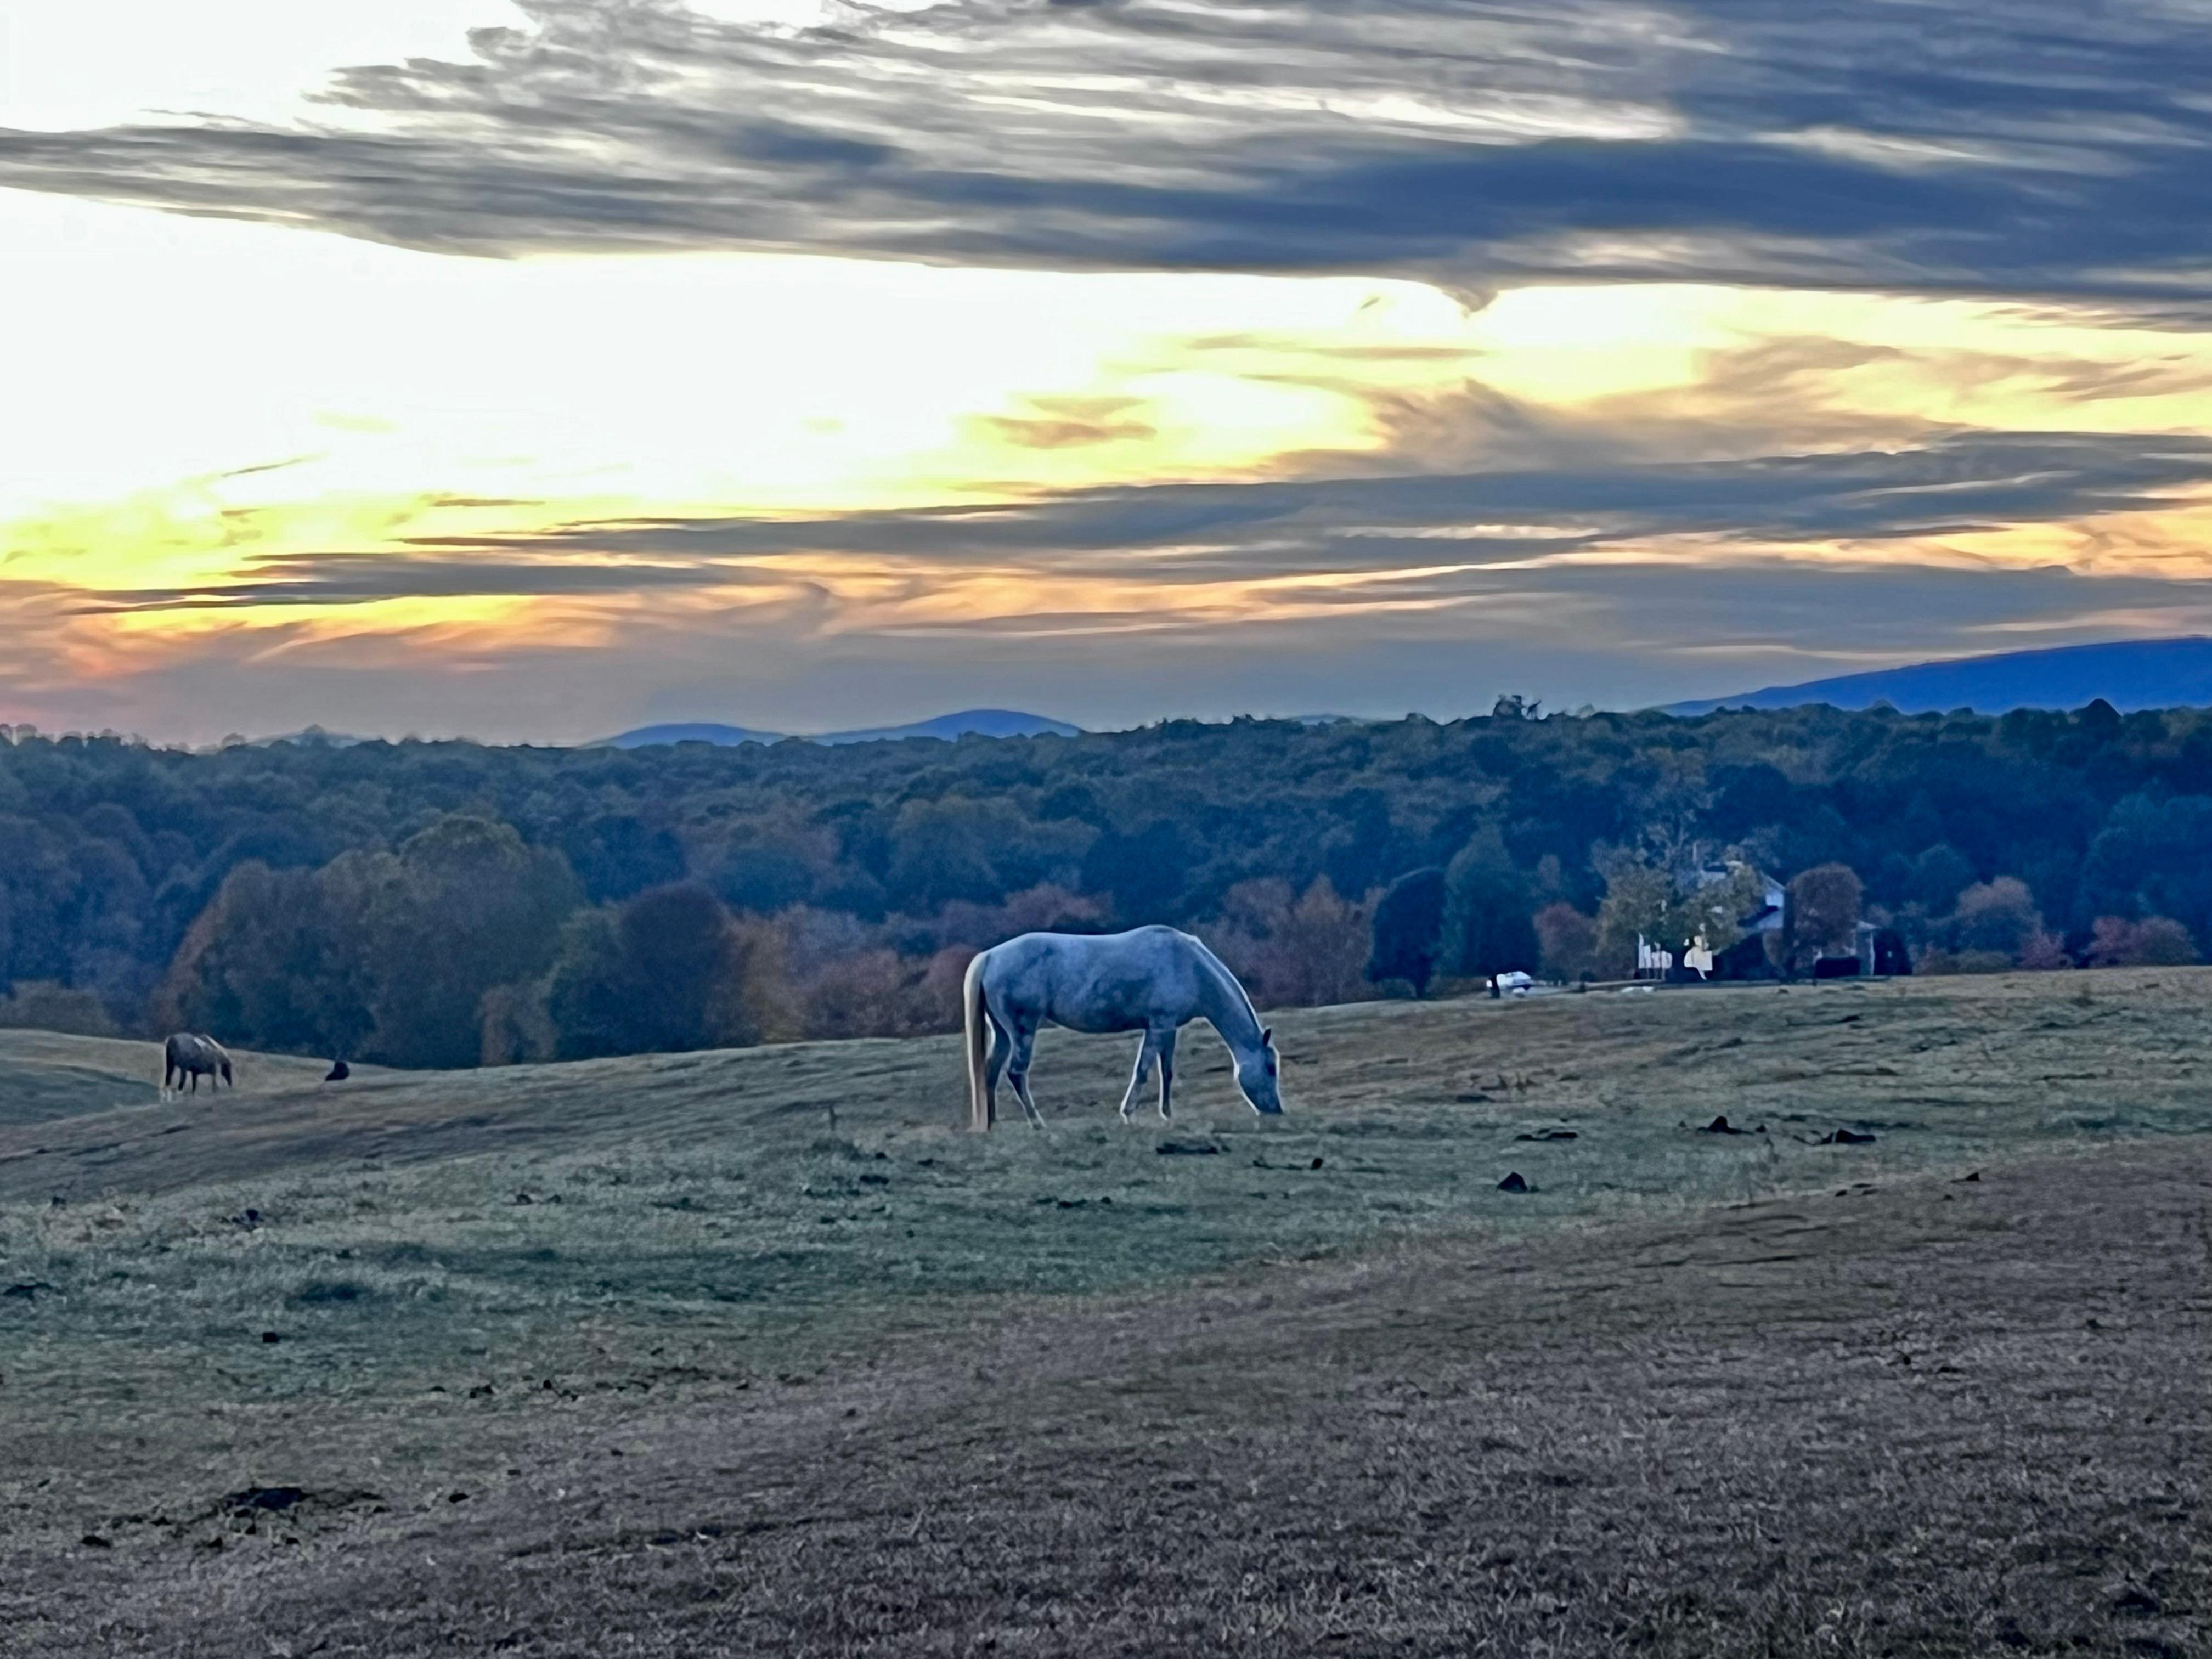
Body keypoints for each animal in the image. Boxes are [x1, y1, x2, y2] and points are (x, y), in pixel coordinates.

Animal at [161, 1033, 232, 1100]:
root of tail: (171, 1039)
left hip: (172, 1065)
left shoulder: (195, 1072)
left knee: (169, 1080)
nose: (230, 1083)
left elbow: (194, 1088)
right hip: (173, 1065)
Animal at [962, 925, 1283, 1131]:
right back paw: (1037, 1123)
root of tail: (990, 957)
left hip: (1003, 1034)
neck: (1189, 966)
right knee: (1016, 1073)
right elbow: (1142, 1071)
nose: (1277, 1112)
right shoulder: (1157, 1026)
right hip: (1022, 1030)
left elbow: (1167, 1071)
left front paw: (1168, 1115)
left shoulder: (1169, 1028)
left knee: (990, 1072)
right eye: (1271, 1068)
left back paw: (992, 1124)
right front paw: (1129, 1113)